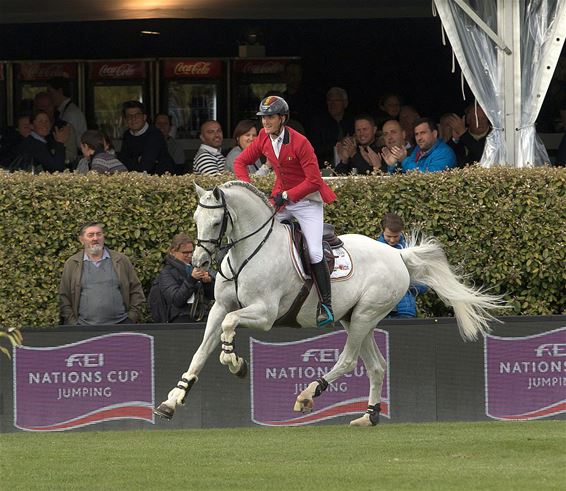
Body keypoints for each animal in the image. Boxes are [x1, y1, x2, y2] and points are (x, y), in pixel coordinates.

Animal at [154, 181, 502, 426]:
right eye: (196, 218)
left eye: (216, 223)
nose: (198, 262)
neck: (248, 252)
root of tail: (398, 255)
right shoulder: (219, 308)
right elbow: (201, 352)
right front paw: (173, 400)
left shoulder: (264, 314)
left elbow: (228, 329)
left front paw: (235, 362)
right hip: (356, 318)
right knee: (376, 365)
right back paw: (369, 415)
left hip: (364, 316)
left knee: (348, 361)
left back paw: (308, 394)